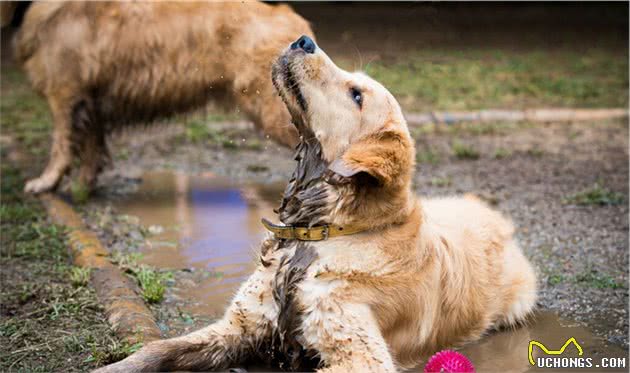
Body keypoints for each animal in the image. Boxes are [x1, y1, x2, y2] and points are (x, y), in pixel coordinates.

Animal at [13, 2, 312, 195]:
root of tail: (295, 22)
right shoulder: (91, 99)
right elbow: (91, 147)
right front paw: (82, 186)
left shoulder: (65, 93)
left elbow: (61, 145)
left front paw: (46, 182)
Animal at [97, 35, 540, 372]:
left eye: (356, 94)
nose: (303, 40)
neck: (320, 233)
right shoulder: (240, 325)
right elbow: (155, 349)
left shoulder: (362, 356)